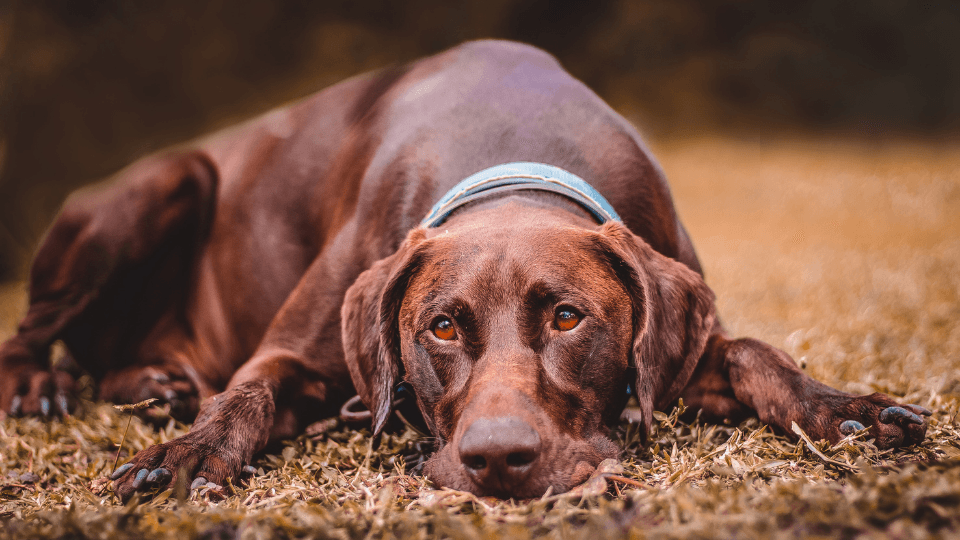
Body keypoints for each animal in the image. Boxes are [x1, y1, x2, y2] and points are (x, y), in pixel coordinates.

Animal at [1, 40, 928, 500]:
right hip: (166, 182)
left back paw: (157, 381)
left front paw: (846, 407)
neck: (512, 157)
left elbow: (755, 355)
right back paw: (49, 389)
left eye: (568, 318)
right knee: (33, 333)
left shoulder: (680, 343)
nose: (497, 460)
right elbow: (246, 396)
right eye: (440, 326)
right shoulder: (292, 352)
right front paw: (188, 452)